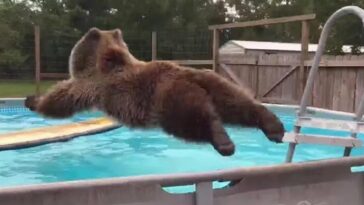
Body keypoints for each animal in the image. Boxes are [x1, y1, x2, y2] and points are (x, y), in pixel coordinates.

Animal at [25, 26, 284, 155]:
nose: (91, 32)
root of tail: (191, 77)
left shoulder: (92, 85)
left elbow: (60, 100)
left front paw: (33, 100)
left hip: (168, 100)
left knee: (194, 119)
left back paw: (223, 142)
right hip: (217, 84)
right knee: (238, 105)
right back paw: (274, 127)